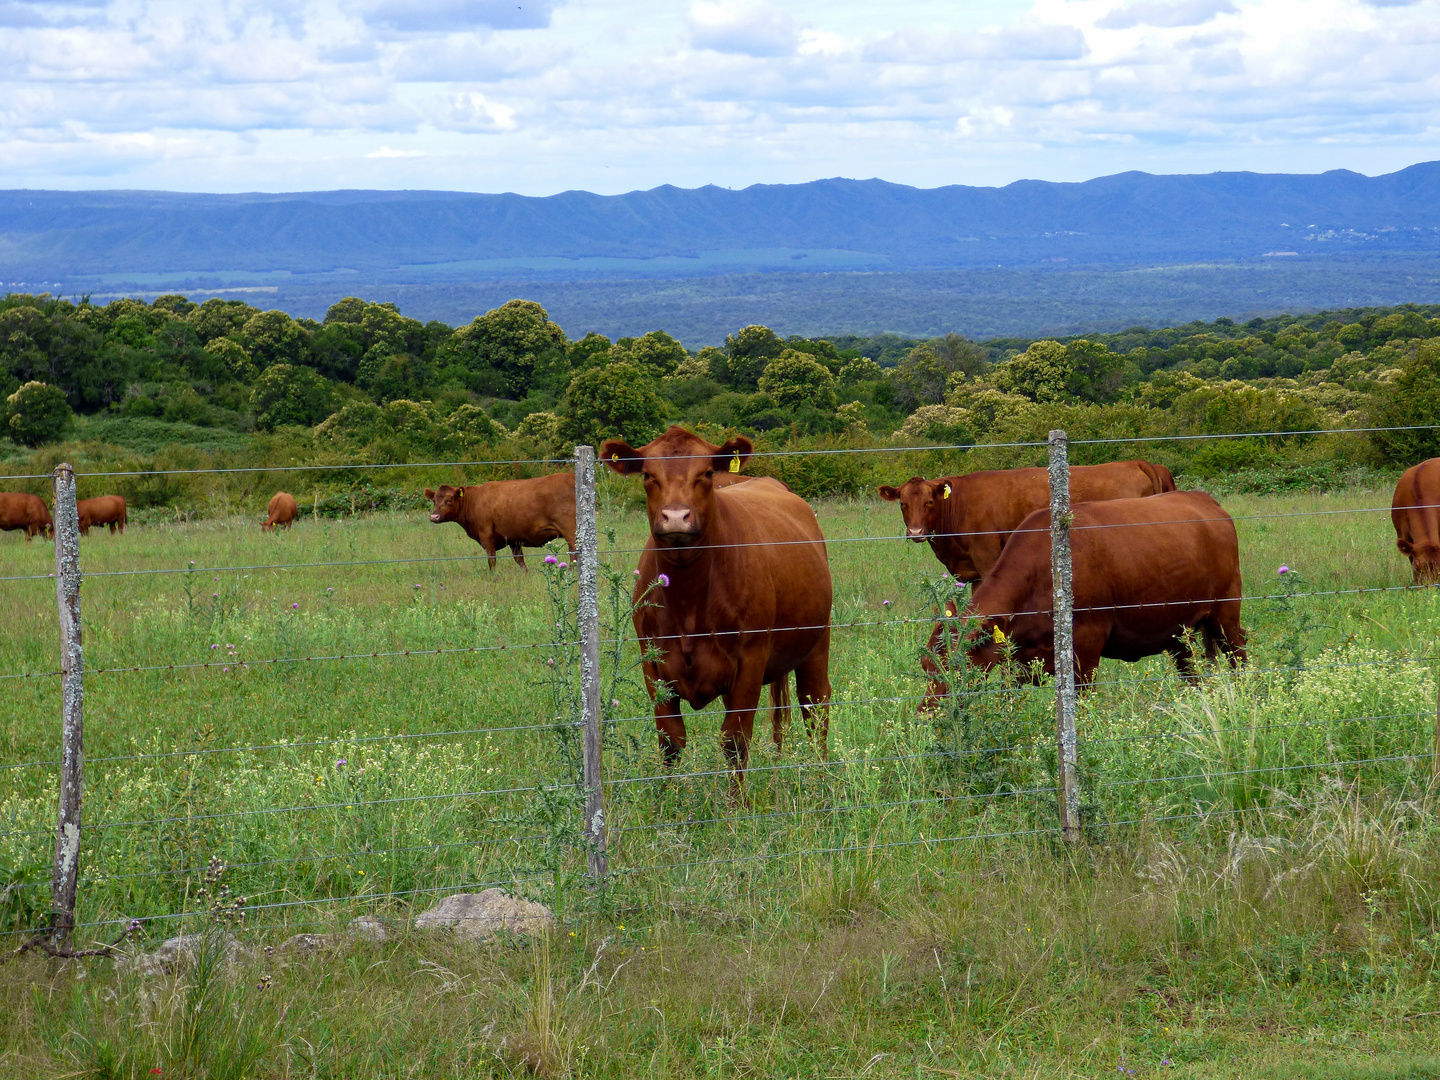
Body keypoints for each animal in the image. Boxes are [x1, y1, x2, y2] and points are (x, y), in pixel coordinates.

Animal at [426, 472, 578, 576]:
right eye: (434, 500)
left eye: (449, 500)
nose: (434, 516)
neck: (473, 500)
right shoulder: (514, 540)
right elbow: (520, 560)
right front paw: (526, 574)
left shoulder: (486, 535)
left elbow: (491, 559)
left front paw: (492, 576)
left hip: (571, 531)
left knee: (574, 554)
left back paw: (570, 573)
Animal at [604, 426, 835, 789]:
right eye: (647, 475)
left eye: (708, 473)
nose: (676, 517)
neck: (688, 599)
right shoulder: (652, 663)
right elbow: (670, 740)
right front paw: (668, 798)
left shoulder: (751, 660)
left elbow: (735, 741)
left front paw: (736, 802)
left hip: (817, 640)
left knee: (815, 707)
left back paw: (821, 779)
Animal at [950, 492, 1244, 688]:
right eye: (935, 661)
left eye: (958, 663)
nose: (937, 709)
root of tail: (1202, 498)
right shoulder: (1018, 660)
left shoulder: (1086, 644)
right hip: (1178, 628)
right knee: (1191, 671)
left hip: (1225, 610)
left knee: (1237, 652)